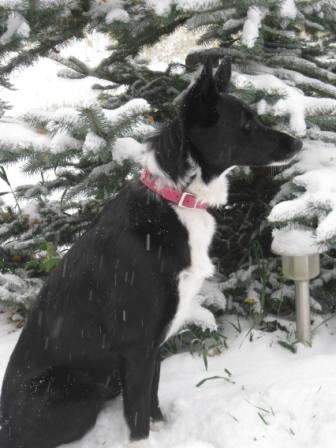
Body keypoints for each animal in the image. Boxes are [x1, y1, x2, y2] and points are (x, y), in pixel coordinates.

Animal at [0, 57, 300, 446]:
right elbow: (138, 414)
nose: (298, 142)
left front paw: (162, 427)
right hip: (76, 394)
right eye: (246, 124)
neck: (177, 199)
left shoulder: (155, 344)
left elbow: (152, 398)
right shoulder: (138, 343)